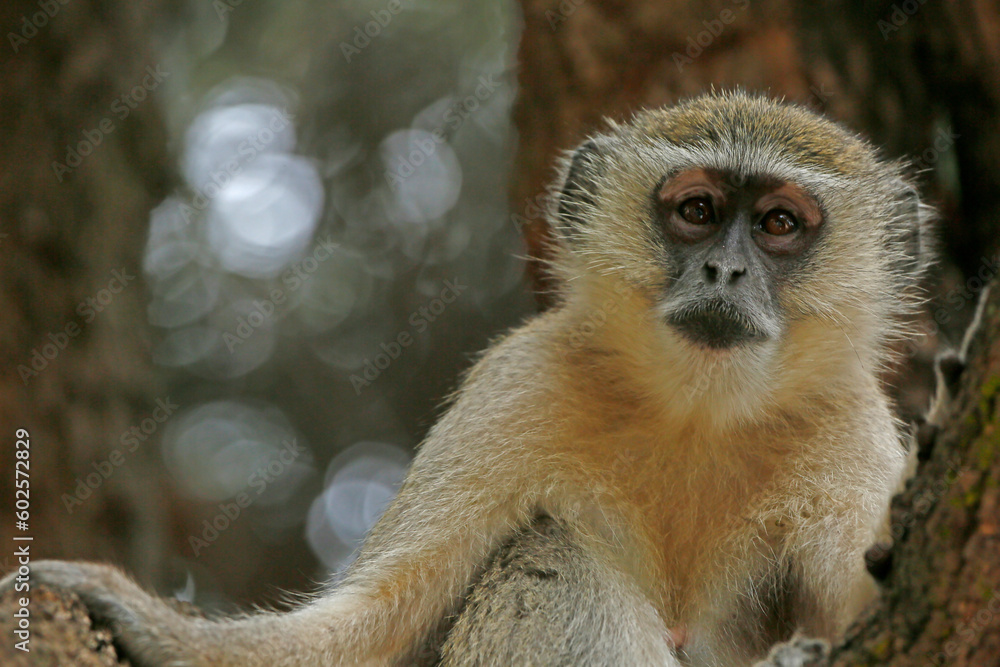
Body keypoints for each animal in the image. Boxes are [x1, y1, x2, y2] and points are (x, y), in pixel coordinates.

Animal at [2, 90, 932, 666]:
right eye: (697, 210)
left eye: (778, 225)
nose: (725, 273)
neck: (697, 412)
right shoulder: (519, 381)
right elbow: (376, 623)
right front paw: (150, 623)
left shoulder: (851, 433)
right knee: (552, 549)